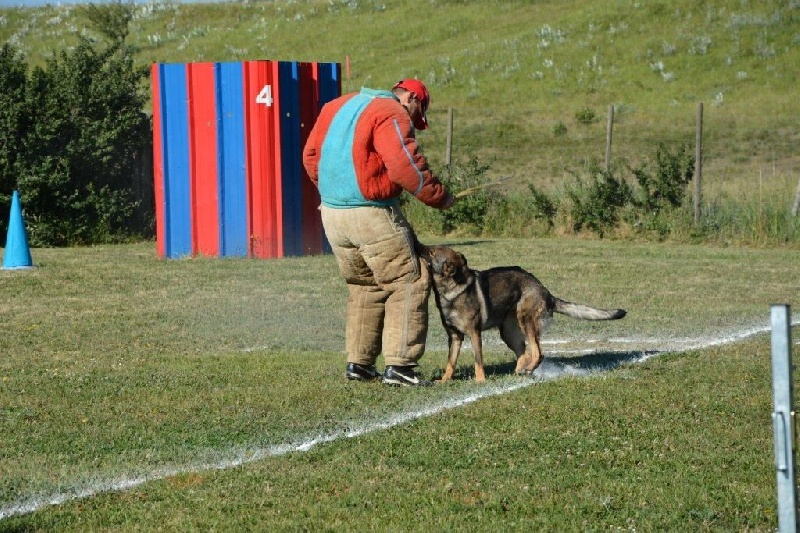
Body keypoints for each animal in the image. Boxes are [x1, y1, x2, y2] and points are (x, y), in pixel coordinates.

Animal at [416, 243, 628, 384]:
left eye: (432, 252)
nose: (418, 243)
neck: (450, 290)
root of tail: (546, 291)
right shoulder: (455, 337)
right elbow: (450, 362)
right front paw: (444, 380)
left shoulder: (474, 334)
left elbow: (478, 361)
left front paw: (480, 381)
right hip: (509, 333)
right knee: (524, 353)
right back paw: (520, 371)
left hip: (526, 321)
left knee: (537, 353)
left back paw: (528, 369)